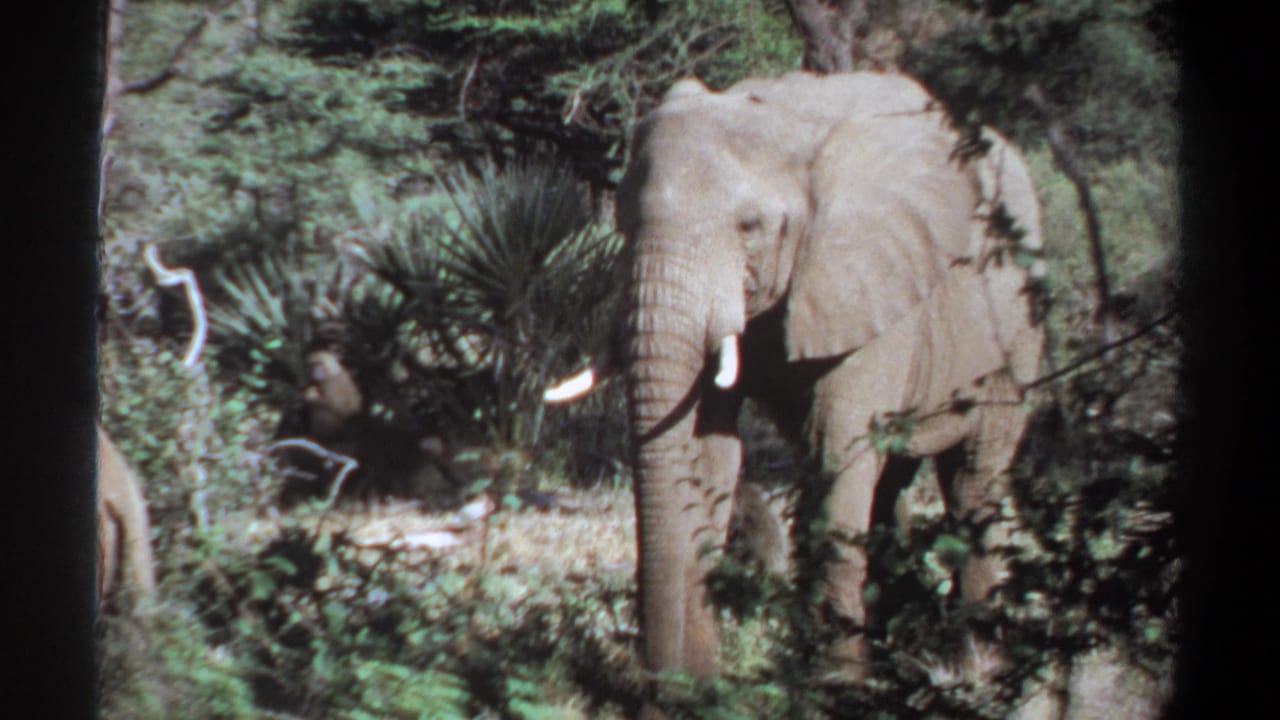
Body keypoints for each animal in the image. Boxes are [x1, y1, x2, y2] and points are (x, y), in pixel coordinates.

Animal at [557, 70, 1046, 710]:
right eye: (623, 223)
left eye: (750, 227)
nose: (661, 692)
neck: (780, 121)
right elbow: (710, 451)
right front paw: (707, 687)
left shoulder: (871, 280)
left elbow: (836, 454)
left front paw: (831, 692)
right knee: (891, 486)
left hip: (1016, 338)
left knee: (972, 480)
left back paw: (981, 672)